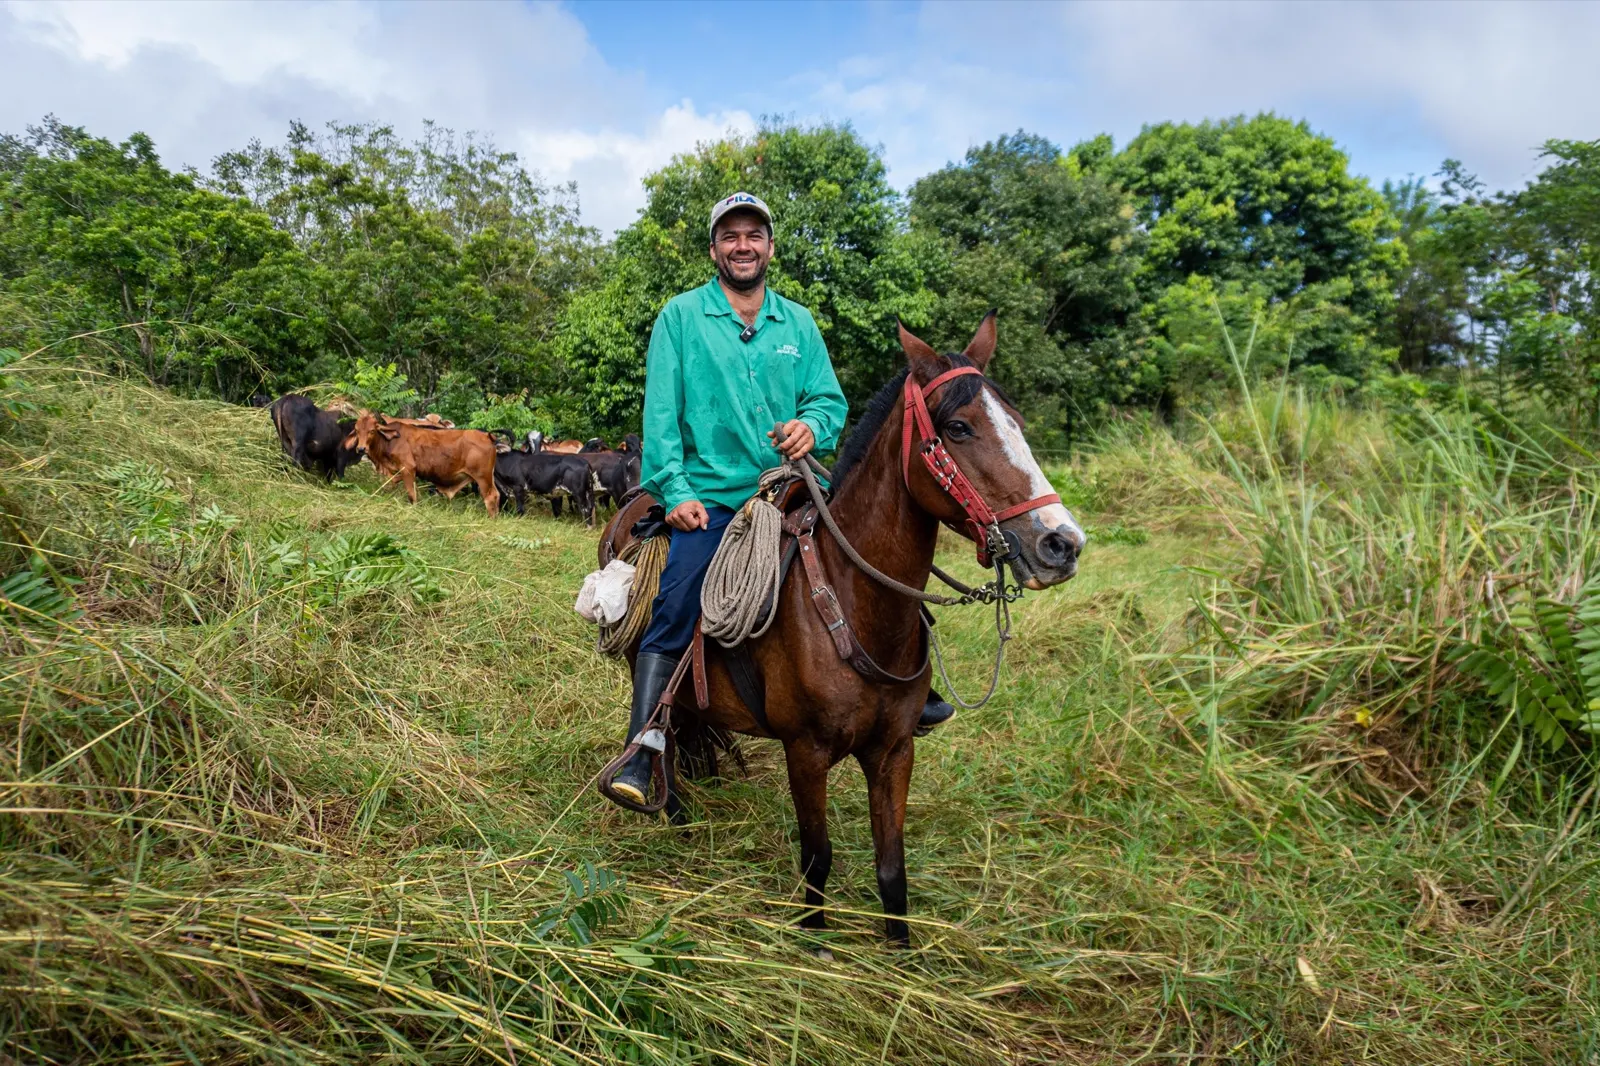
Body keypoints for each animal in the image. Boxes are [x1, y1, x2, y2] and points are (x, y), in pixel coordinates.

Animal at [599, 313, 1085, 945]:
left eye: (1019, 425)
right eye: (958, 427)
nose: (1061, 543)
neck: (854, 606)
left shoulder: (896, 750)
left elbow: (891, 864)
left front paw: (900, 950)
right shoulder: (805, 752)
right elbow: (817, 855)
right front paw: (815, 937)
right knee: (662, 732)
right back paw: (662, 810)